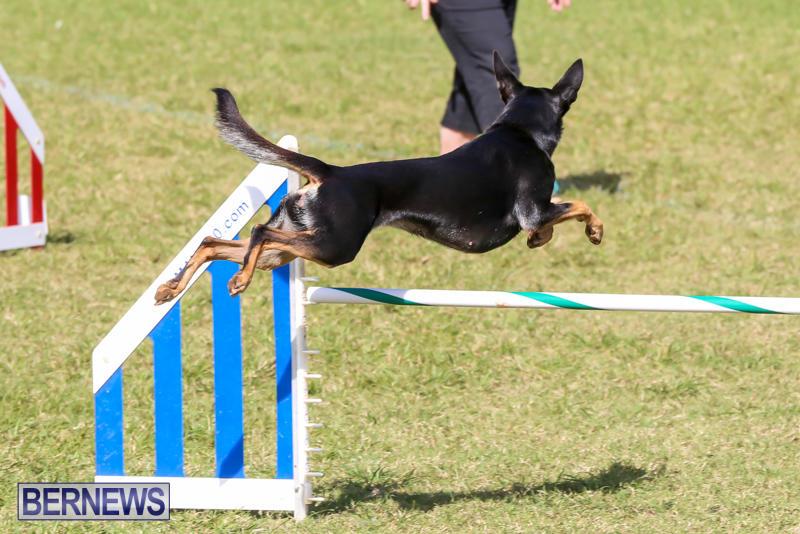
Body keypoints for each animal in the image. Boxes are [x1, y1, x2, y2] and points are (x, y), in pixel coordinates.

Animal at [155, 52, 602, 305]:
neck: (518, 130)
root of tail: (329, 172)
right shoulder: (534, 210)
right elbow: (578, 206)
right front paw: (592, 231)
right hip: (335, 246)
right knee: (260, 232)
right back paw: (237, 280)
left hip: (292, 249)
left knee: (214, 242)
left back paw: (171, 289)